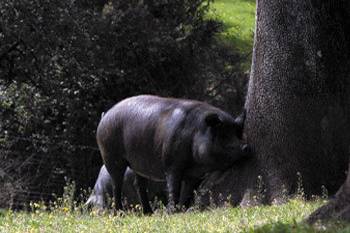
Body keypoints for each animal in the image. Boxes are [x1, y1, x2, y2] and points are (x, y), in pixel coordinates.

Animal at [95, 94, 249, 213]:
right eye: (223, 135)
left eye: (238, 133)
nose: (245, 146)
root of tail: (105, 116)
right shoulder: (171, 164)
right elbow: (173, 187)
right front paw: (172, 211)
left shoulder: (195, 175)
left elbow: (188, 192)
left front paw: (184, 209)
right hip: (110, 155)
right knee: (116, 184)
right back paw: (120, 212)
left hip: (138, 163)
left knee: (139, 185)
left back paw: (149, 213)